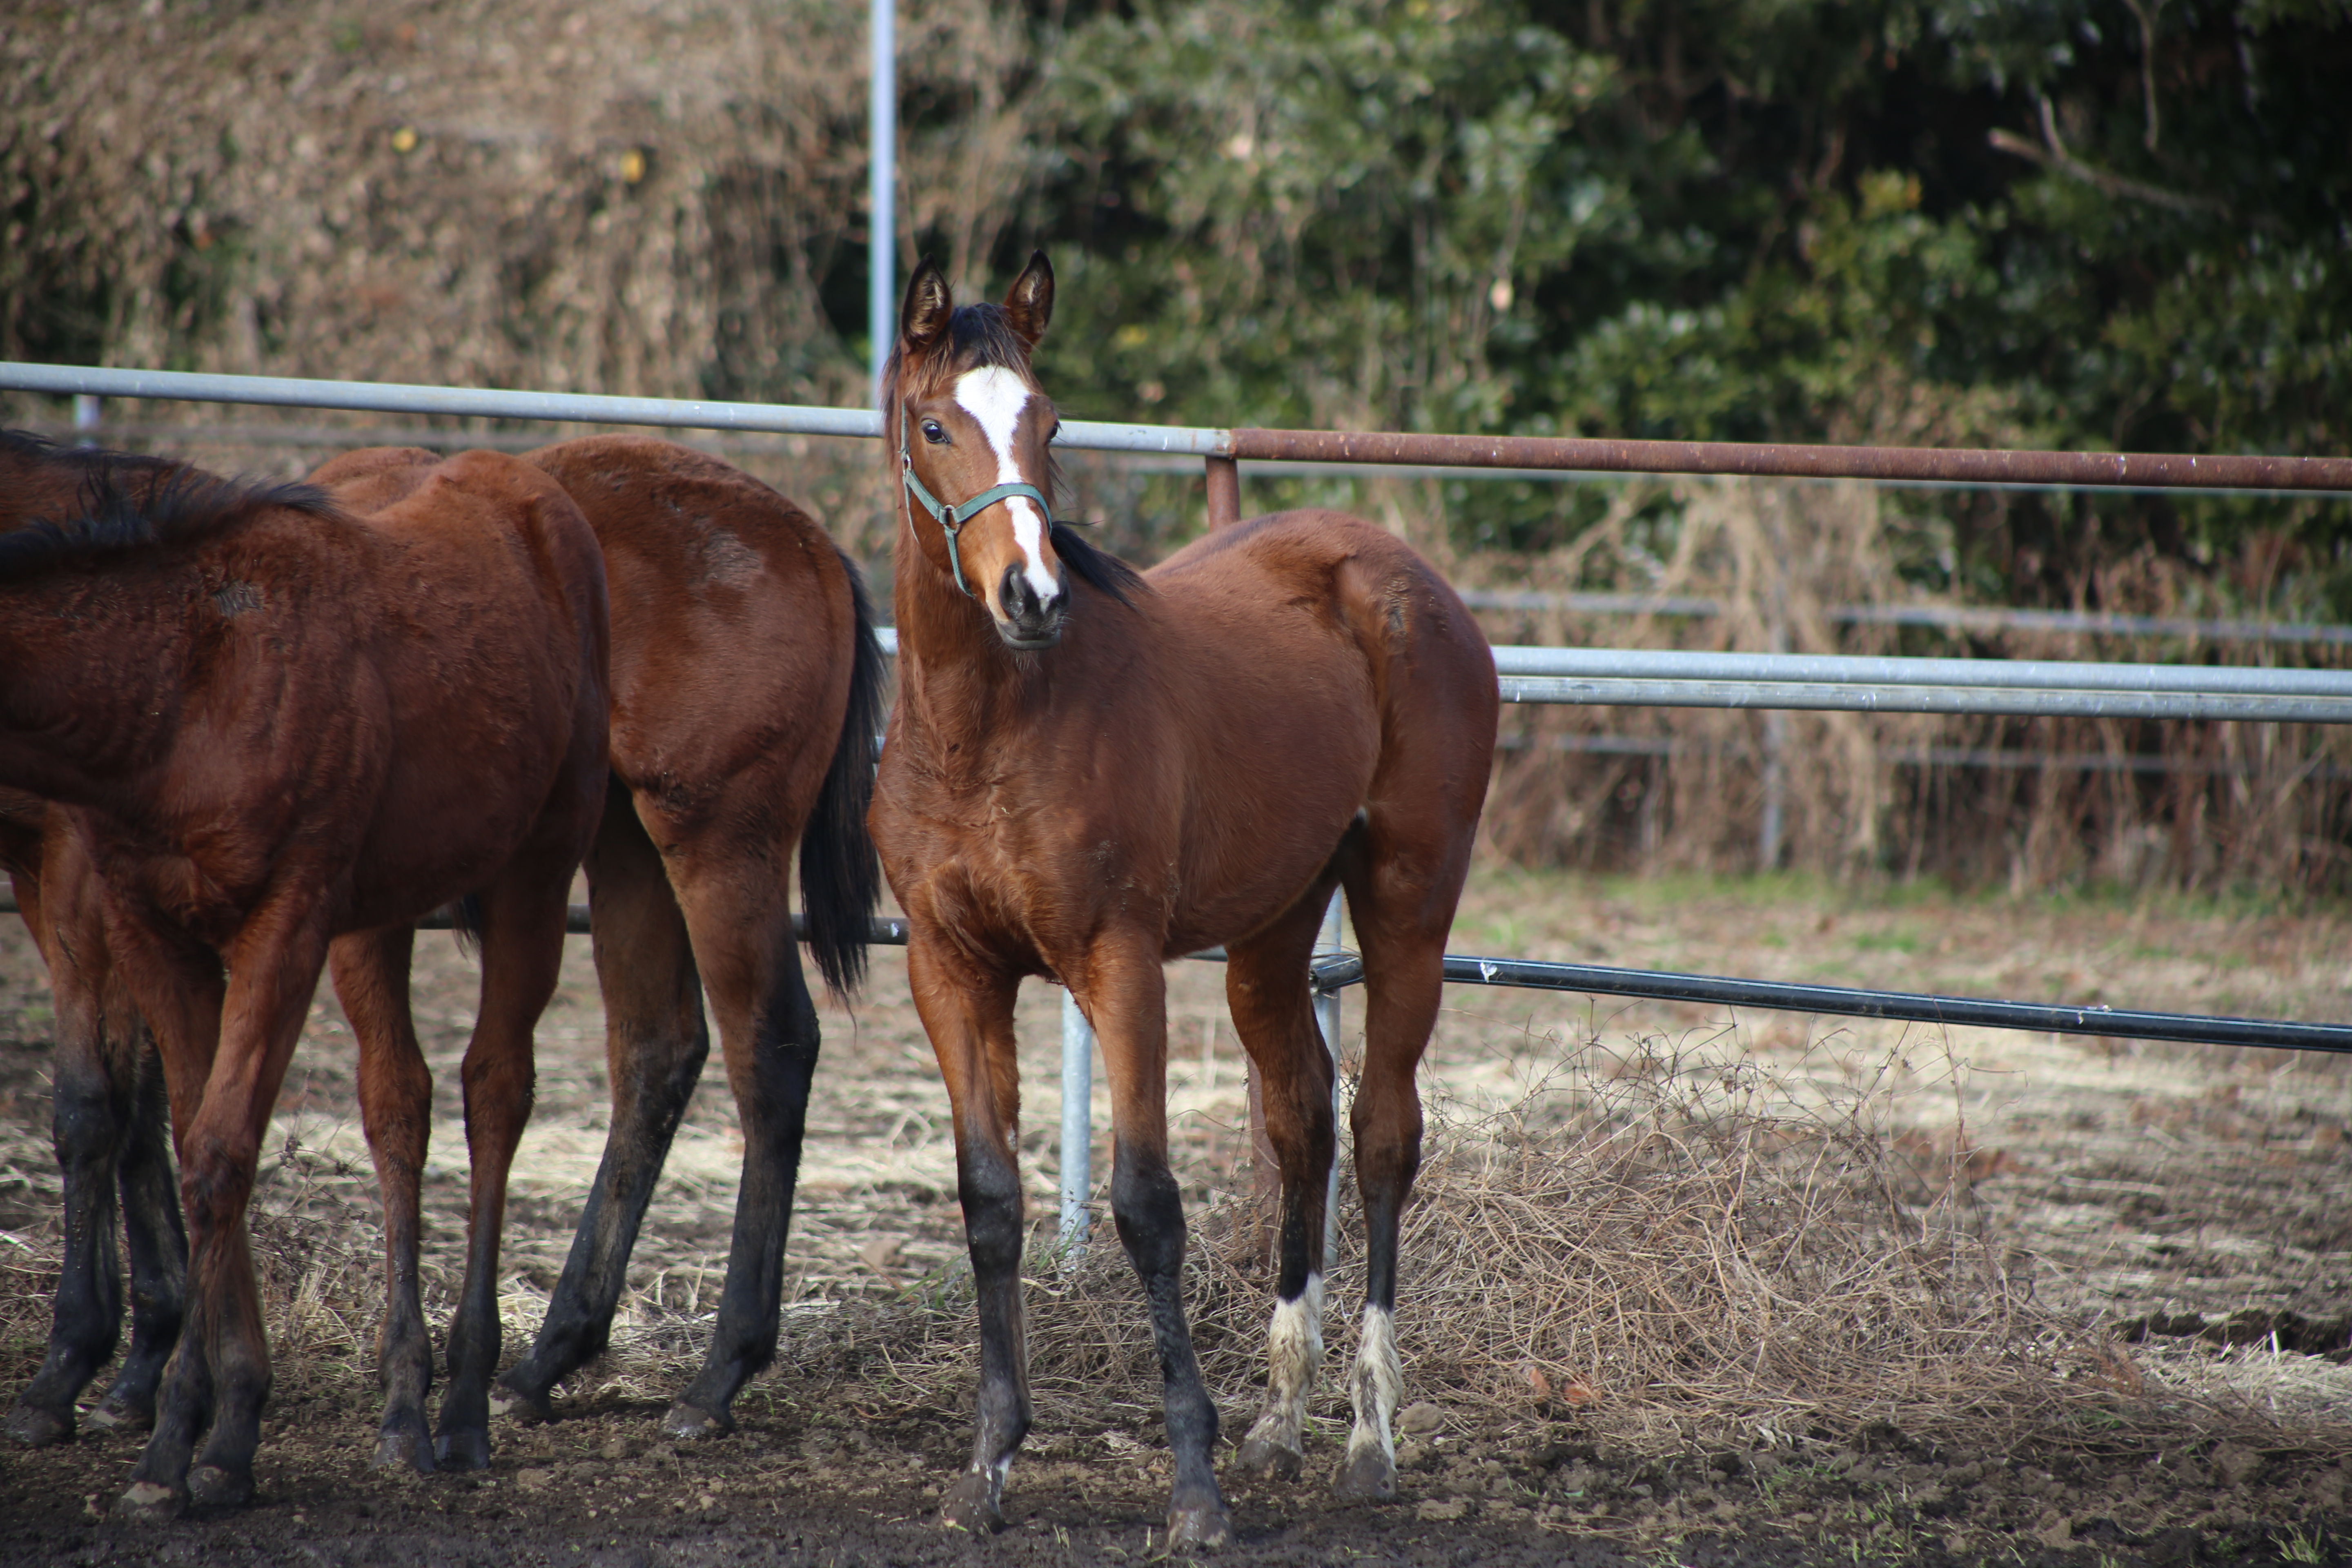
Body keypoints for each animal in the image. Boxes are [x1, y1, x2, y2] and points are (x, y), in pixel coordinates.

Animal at [0, 435, 616, 1514]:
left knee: (495, 1089)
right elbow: (193, 1136)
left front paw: (182, 1439)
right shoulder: (150, 926)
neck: (186, 684)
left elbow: (216, 1153)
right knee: (398, 1099)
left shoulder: (277, 925)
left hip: (534, 873)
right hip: (379, 914)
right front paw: (222, 1423)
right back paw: (404, 1409)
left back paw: (465, 1408)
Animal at [308, 435, 884, 1439]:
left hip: (716, 846)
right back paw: (553, 1352)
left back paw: (718, 1372)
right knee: (658, 1050)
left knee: (770, 1050)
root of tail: (812, 547)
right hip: (628, 846)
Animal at [875, 257, 1496, 1542]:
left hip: (1407, 906)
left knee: (1381, 1133)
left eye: (1050, 424)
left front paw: (1193, 1488)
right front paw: (988, 1464)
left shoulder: (1115, 964)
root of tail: (1400, 572)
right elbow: (989, 1201)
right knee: (1300, 1118)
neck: (982, 733)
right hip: (1272, 934)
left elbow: (1145, 1206)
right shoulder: (950, 970)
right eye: (936, 425)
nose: (1032, 595)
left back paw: (1367, 1436)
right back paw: (1281, 1419)